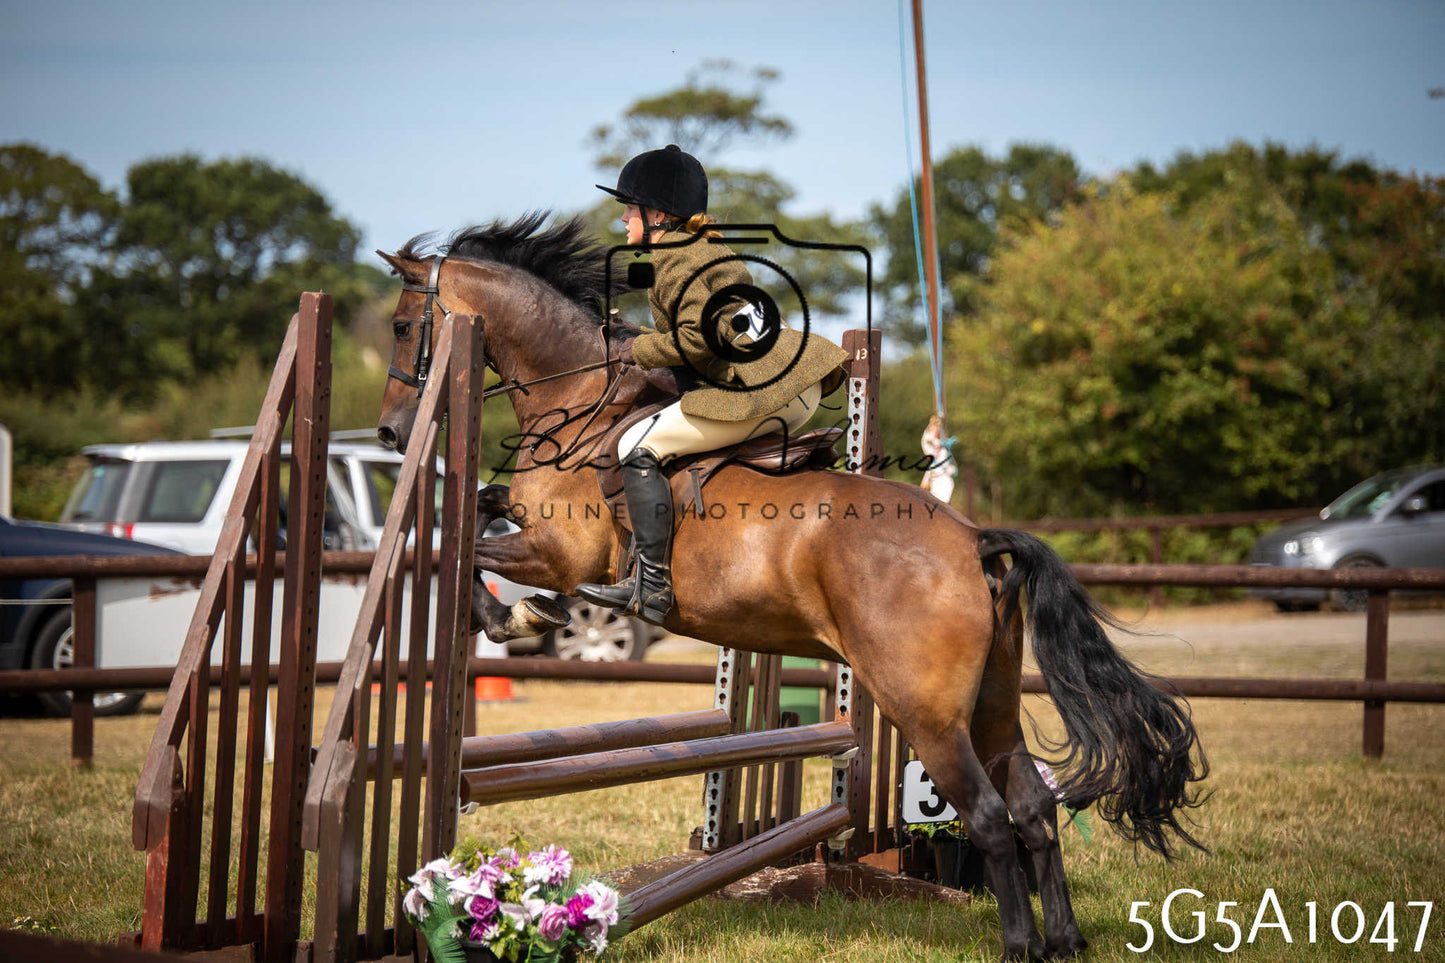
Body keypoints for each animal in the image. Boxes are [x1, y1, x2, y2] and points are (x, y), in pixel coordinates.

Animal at [373, 213, 1207, 961]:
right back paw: (1063, 940)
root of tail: (970, 540)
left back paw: (1018, 945)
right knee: (1033, 808)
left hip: (926, 711)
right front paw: (518, 611)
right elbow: (479, 509)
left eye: (402, 324)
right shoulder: (535, 532)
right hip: (992, 702)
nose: (389, 433)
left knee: (989, 814)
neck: (578, 395)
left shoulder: (560, 554)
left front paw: (512, 618)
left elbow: (468, 548)